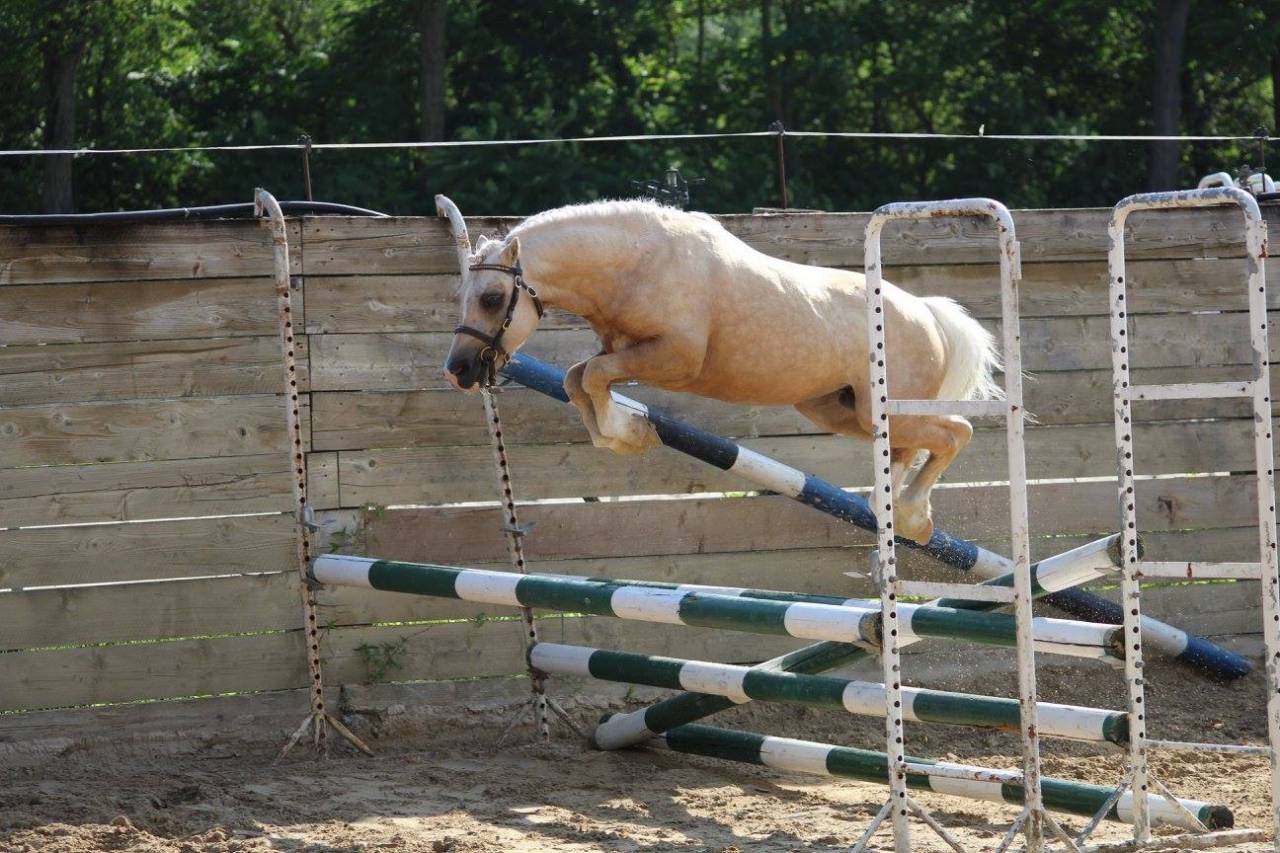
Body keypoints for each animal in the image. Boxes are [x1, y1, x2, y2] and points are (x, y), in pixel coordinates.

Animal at [436, 195, 1001, 545]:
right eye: (461, 295)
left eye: (491, 298)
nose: (458, 371)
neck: (636, 262)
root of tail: (926, 311)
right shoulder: (623, 352)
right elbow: (579, 379)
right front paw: (626, 432)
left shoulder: (673, 359)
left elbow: (591, 377)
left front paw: (627, 433)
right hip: (842, 411)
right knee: (911, 449)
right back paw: (890, 510)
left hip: (881, 410)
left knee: (956, 432)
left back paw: (912, 516)